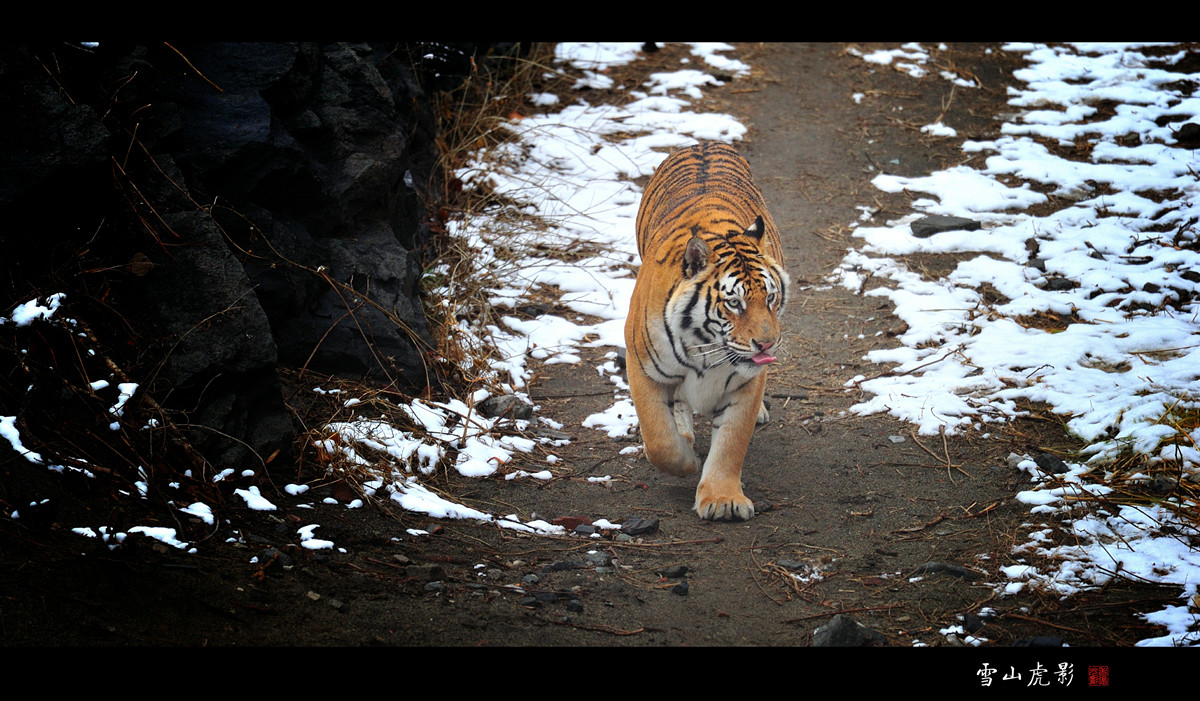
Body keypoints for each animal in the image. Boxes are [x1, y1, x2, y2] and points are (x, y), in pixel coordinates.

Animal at [624, 141, 792, 520]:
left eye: (770, 297)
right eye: (735, 303)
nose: (767, 344)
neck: (706, 346)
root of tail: (703, 143)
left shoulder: (746, 383)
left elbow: (731, 443)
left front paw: (722, 499)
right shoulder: (642, 368)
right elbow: (659, 438)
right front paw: (686, 462)